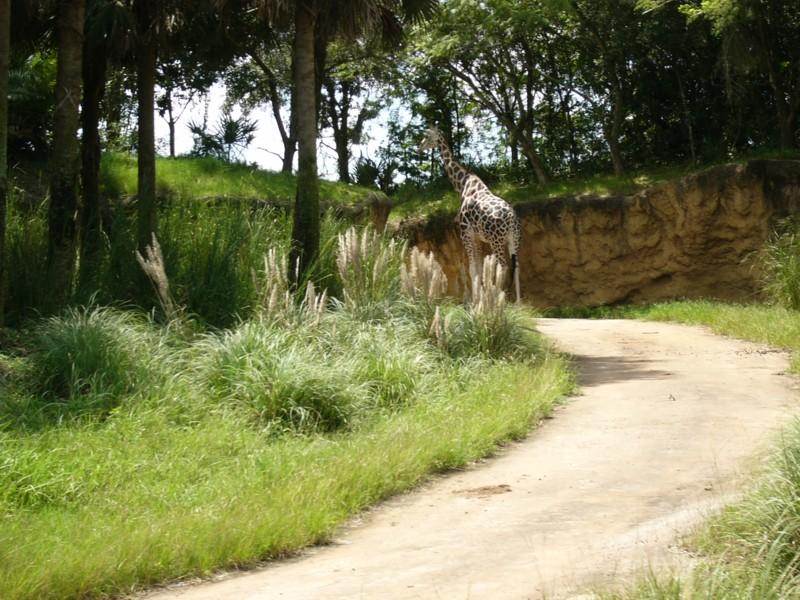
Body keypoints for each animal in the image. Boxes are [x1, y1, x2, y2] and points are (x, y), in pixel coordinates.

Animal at [418, 127, 522, 302]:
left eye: (426, 136)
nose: (419, 148)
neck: (462, 185)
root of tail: (511, 219)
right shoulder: (477, 237)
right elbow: (479, 268)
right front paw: (480, 297)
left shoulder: (465, 234)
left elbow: (472, 268)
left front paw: (476, 300)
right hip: (513, 239)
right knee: (517, 265)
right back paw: (519, 302)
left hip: (496, 241)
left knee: (504, 266)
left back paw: (501, 299)